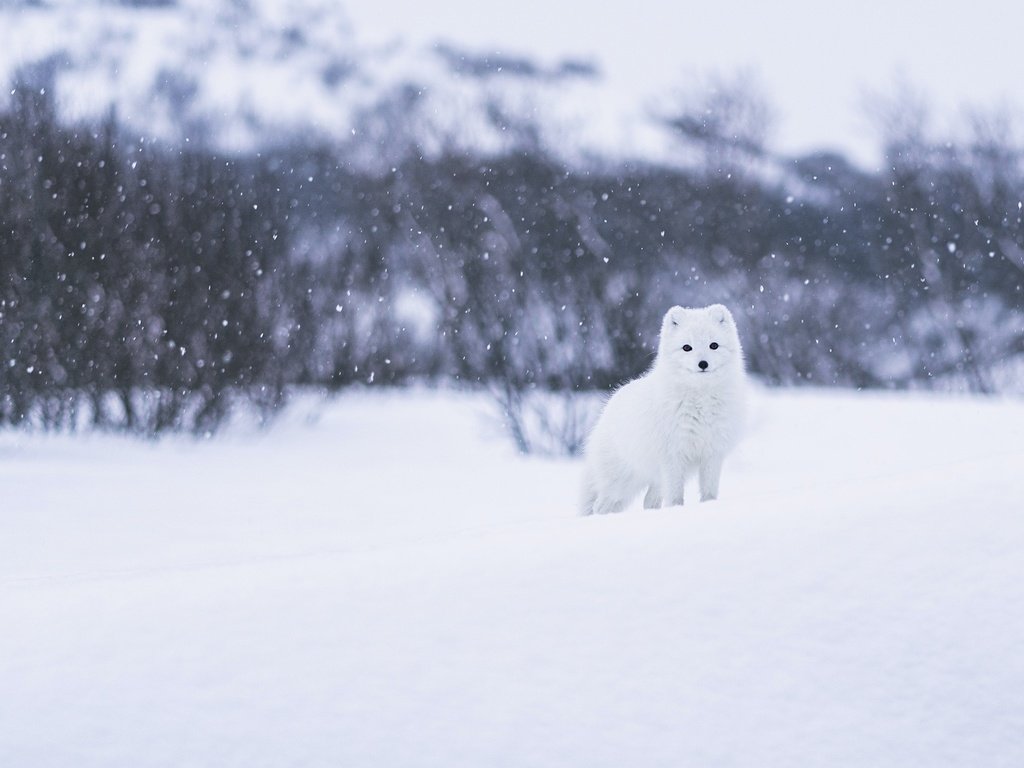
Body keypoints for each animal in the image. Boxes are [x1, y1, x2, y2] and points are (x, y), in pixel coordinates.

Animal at [581, 305, 749, 518]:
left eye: (714, 345)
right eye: (687, 347)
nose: (703, 364)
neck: (700, 401)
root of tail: (606, 409)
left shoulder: (712, 453)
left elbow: (709, 492)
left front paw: (708, 507)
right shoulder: (673, 456)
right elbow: (675, 496)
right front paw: (676, 511)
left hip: (653, 480)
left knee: (648, 502)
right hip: (621, 483)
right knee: (600, 506)